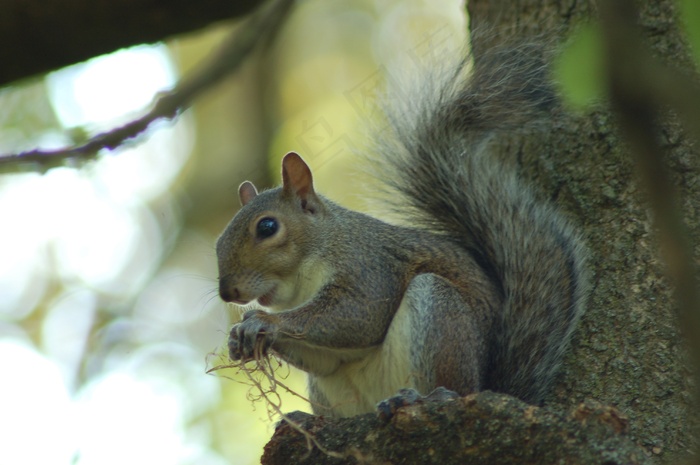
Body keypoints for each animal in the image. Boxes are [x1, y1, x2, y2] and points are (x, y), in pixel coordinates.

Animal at [216, 40, 588, 416]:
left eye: (267, 226)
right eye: (218, 242)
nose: (227, 292)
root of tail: (490, 386)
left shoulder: (369, 267)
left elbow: (357, 316)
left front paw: (265, 322)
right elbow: (326, 359)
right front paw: (239, 338)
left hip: (442, 316)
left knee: (455, 388)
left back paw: (424, 397)